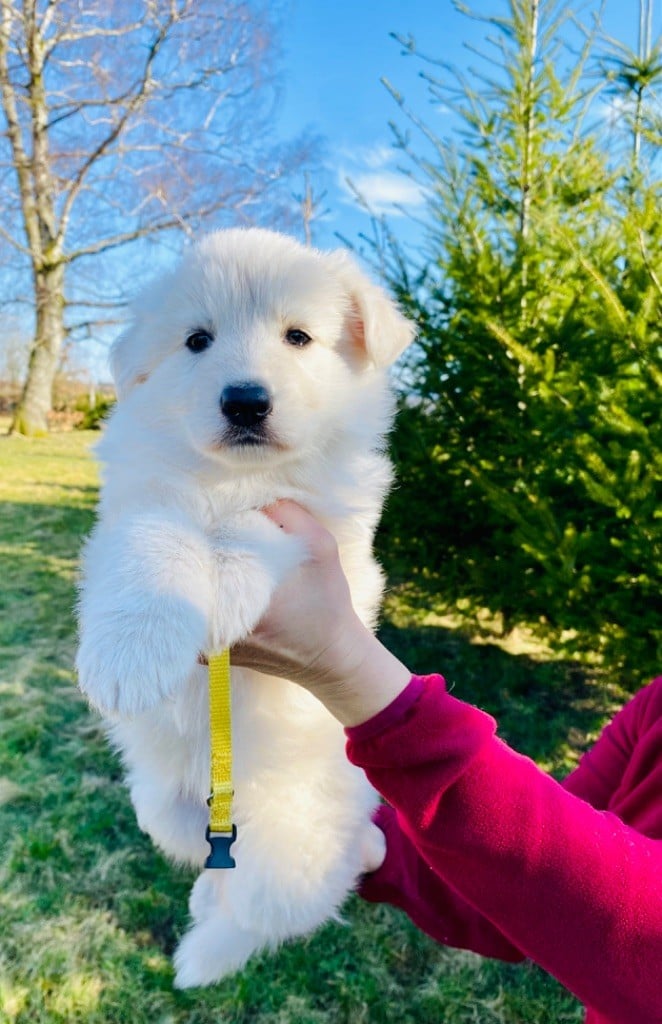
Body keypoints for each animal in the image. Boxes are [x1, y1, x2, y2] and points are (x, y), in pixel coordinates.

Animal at [76, 228, 414, 987]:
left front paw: (223, 591)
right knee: (199, 854)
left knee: (266, 915)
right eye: (197, 341)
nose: (245, 402)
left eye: (298, 337)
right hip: (162, 801)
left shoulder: (324, 530)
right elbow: (155, 542)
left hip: (284, 857)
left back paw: (199, 958)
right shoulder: (142, 500)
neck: (234, 477)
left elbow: (248, 532)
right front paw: (130, 654)